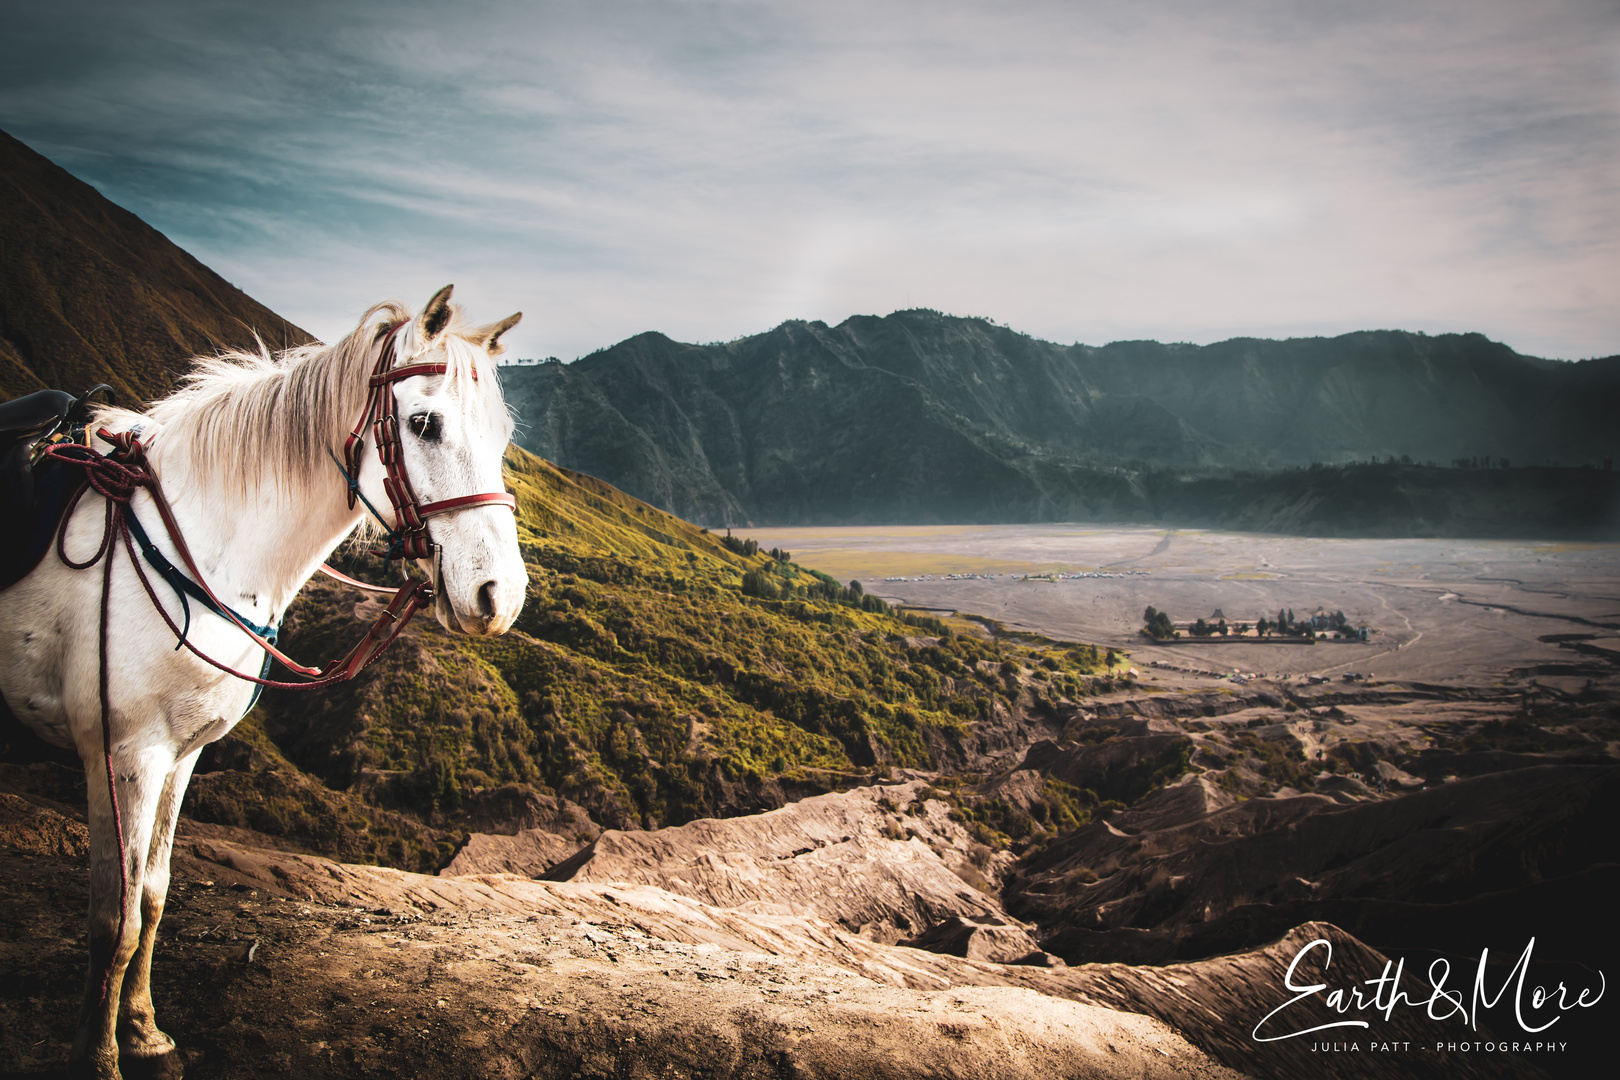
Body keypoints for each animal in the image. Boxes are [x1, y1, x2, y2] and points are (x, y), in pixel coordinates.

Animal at [0, 286, 524, 1080]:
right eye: (424, 424)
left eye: (502, 435)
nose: (502, 597)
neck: (196, 540)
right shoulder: (123, 755)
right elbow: (113, 919)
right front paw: (100, 1057)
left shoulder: (181, 754)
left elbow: (152, 897)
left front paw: (146, 1034)